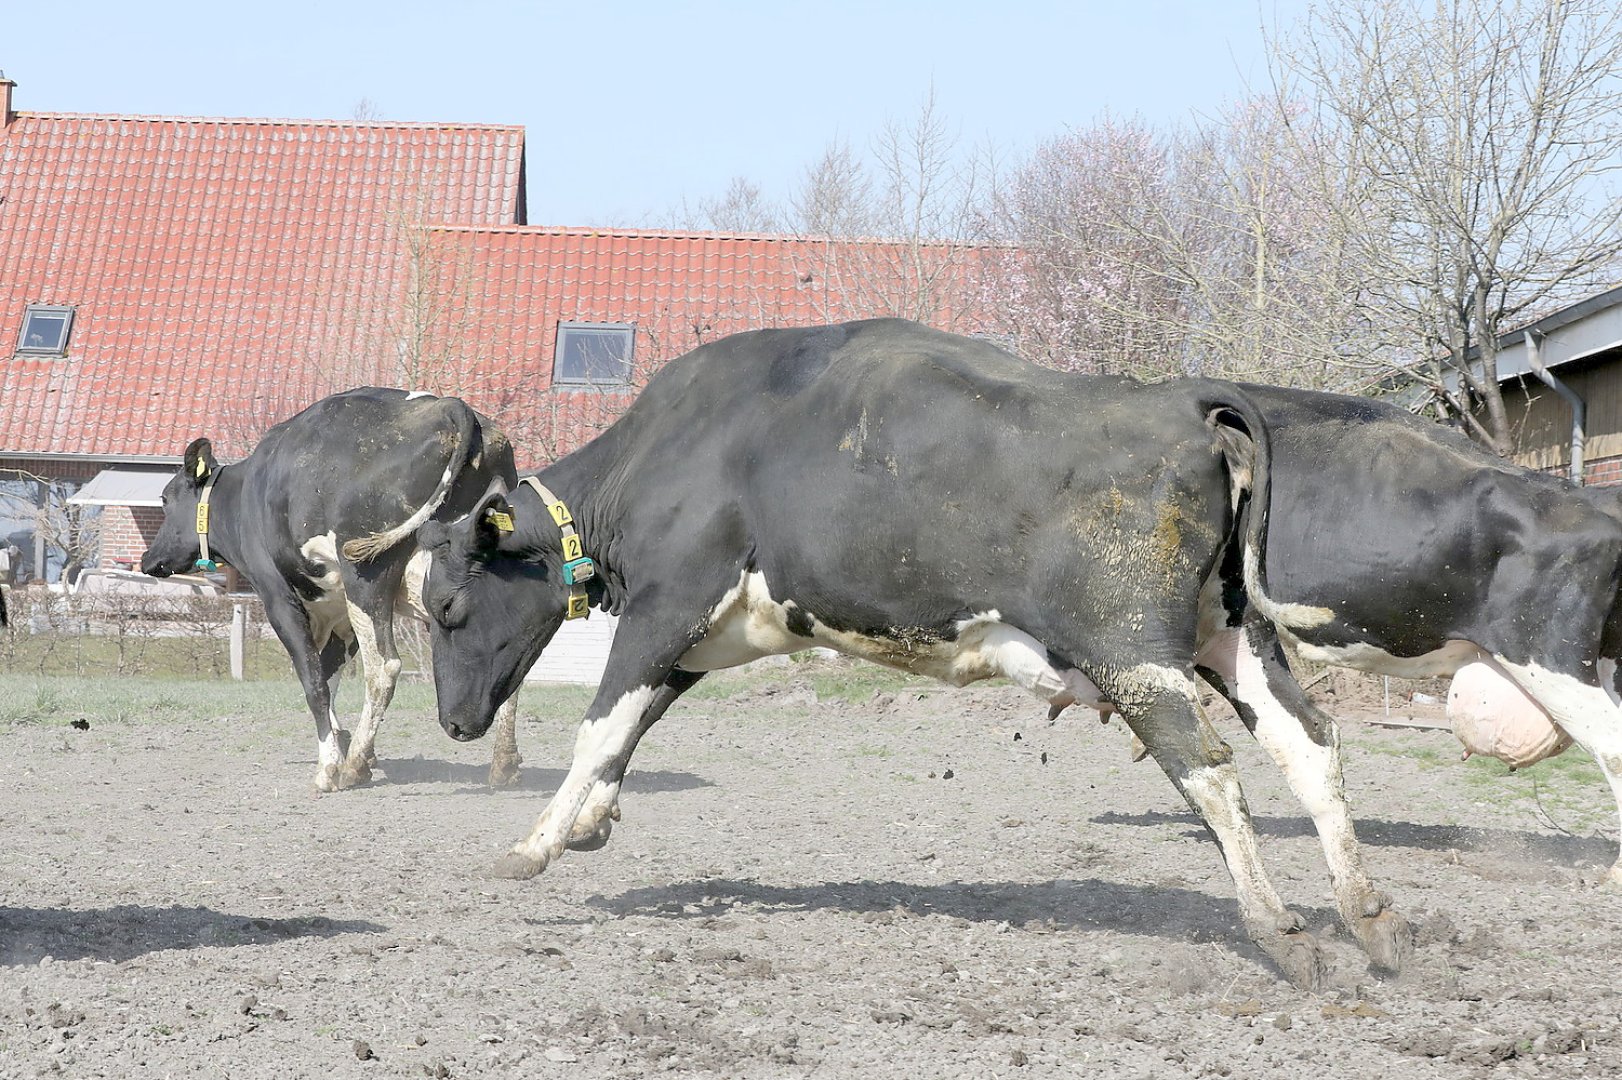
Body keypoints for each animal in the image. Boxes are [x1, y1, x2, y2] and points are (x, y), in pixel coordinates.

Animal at [140, 387, 523, 792]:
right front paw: (348, 743)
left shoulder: (279, 598)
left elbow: (314, 680)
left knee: (383, 668)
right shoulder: (337, 614)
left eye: (165, 499)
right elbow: (329, 672)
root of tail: (451, 407)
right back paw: (504, 764)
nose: (148, 559)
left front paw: (332, 764)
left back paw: (353, 766)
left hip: (367, 576)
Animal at [408, 318, 1402, 989]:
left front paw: (533, 843)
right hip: (1234, 638)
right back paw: (1368, 916)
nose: (454, 723)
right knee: (1311, 747)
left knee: (1212, 772)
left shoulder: (666, 604)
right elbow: (635, 723)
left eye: (446, 606)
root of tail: (1181, 396)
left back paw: (1281, 932)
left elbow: (601, 724)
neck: (669, 450)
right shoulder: (699, 633)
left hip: (1133, 652)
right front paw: (590, 820)